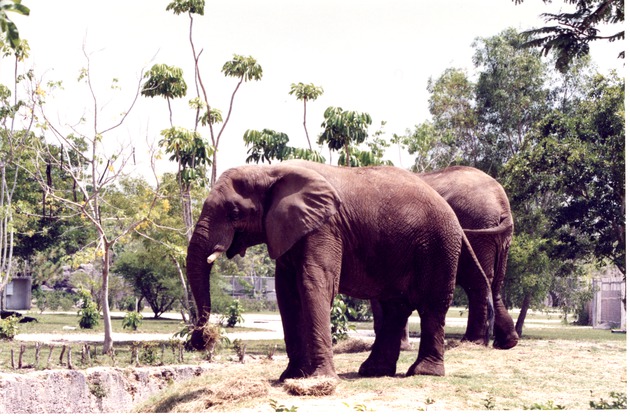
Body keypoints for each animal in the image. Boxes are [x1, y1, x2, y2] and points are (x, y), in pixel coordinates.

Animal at [185, 159, 492, 378]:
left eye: (234, 213)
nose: (199, 342)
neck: (269, 171)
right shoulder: (289, 230)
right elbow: (286, 294)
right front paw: (291, 377)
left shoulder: (325, 227)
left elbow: (314, 283)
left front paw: (319, 380)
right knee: (395, 307)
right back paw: (373, 372)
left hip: (438, 245)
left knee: (431, 305)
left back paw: (423, 373)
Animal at [376, 166, 520, 350]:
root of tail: (501, 205)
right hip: (499, 237)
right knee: (494, 283)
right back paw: (507, 342)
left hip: (478, 227)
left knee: (477, 282)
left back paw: (472, 341)